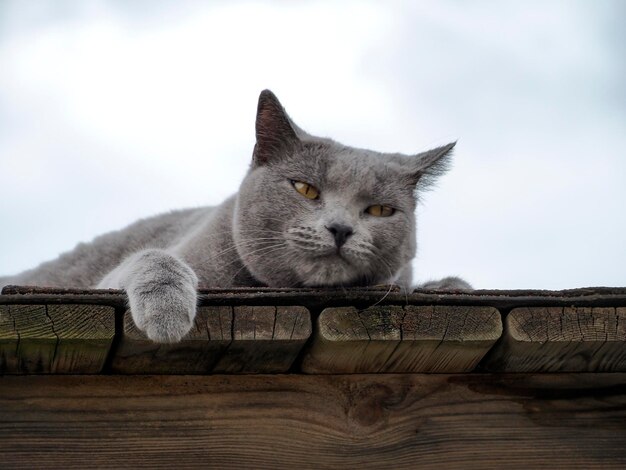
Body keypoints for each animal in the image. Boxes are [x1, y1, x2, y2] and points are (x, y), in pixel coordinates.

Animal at [1, 90, 468, 344]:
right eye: (305, 188)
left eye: (379, 210)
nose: (340, 228)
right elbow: (154, 258)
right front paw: (167, 313)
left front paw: (449, 284)